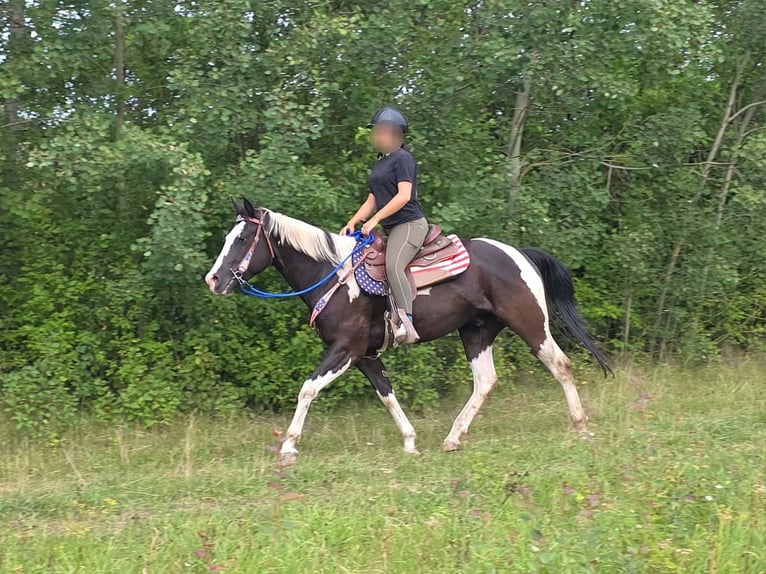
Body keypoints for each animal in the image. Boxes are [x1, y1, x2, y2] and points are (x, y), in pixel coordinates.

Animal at [205, 198, 611, 467]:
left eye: (241, 239)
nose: (214, 280)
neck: (334, 276)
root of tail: (519, 254)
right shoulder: (365, 355)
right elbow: (386, 395)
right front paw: (410, 441)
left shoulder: (345, 349)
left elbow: (308, 388)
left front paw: (289, 446)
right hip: (476, 331)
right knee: (485, 380)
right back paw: (452, 438)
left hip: (530, 323)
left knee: (560, 365)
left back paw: (581, 427)